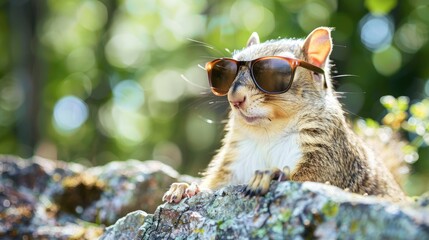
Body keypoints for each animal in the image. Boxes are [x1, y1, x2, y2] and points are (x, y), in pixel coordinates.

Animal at [162, 27, 406, 203]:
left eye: (274, 72)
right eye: (225, 72)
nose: (235, 98)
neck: (269, 133)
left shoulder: (329, 160)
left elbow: (311, 179)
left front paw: (268, 176)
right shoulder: (233, 165)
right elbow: (215, 185)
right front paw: (187, 187)